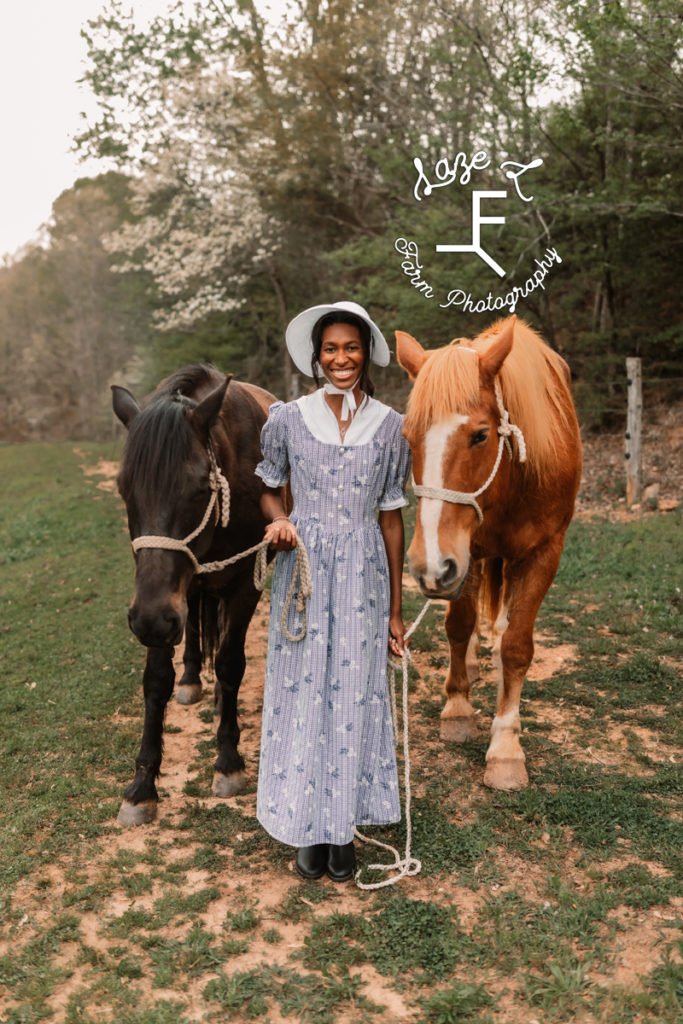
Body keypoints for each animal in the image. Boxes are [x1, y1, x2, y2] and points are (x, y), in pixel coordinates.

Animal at [112, 364, 278, 827]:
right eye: (124, 489)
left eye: (201, 489)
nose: (152, 619)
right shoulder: (161, 603)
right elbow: (156, 680)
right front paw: (142, 785)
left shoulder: (244, 583)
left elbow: (230, 663)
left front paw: (228, 761)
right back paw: (191, 679)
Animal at [395, 315, 581, 786]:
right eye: (407, 437)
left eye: (480, 436)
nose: (427, 565)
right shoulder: (467, 554)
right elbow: (458, 625)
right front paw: (458, 709)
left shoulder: (545, 553)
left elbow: (517, 646)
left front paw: (506, 748)